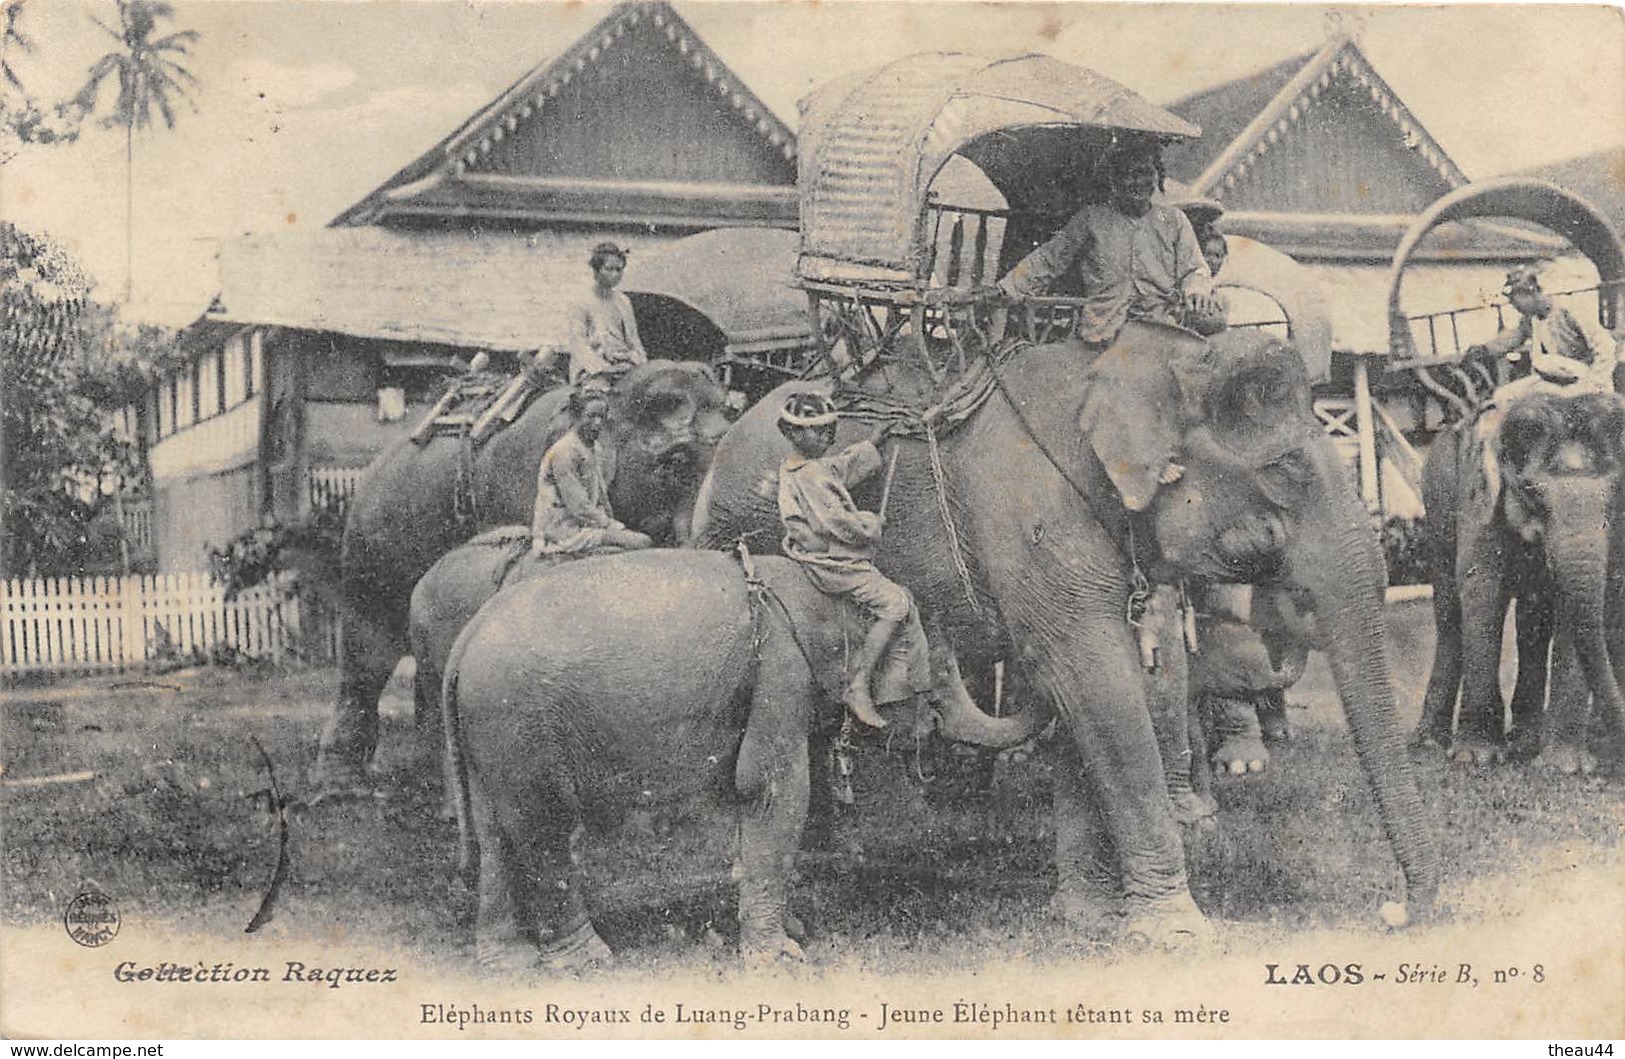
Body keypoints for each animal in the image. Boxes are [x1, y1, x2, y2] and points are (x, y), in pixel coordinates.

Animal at [310, 362, 731, 792]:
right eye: (674, 463)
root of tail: (377, 462)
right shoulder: (518, 486)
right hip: (369, 546)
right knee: (367, 652)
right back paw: (338, 783)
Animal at [442, 548, 1040, 974]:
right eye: (939, 676)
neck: (814, 590)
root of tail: (463, 642)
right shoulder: (779, 665)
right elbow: (772, 788)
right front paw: (781, 956)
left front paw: (791, 930)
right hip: (518, 719)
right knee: (543, 826)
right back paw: (587, 960)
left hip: (490, 733)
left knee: (496, 831)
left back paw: (506, 962)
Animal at [692, 324, 1443, 942]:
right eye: (1285, 471)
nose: (1399, 910)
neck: (1144, 361)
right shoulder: (1036, 516)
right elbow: (1094, 680)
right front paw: (1176, 930)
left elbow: (1093, 692)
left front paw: (1091, 918)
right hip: (738, 538)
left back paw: (827, 854)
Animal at [1410, 384, 1625, 766]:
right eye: (1531, 491)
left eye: (1614, 497)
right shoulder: (1477, 494)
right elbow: (1482, 587)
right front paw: (1476, 757)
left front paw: (1565, 766)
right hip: (1436, 506)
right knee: (1449, 614)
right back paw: (1429, 745)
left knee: (1531, 620)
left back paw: (1525, 741)